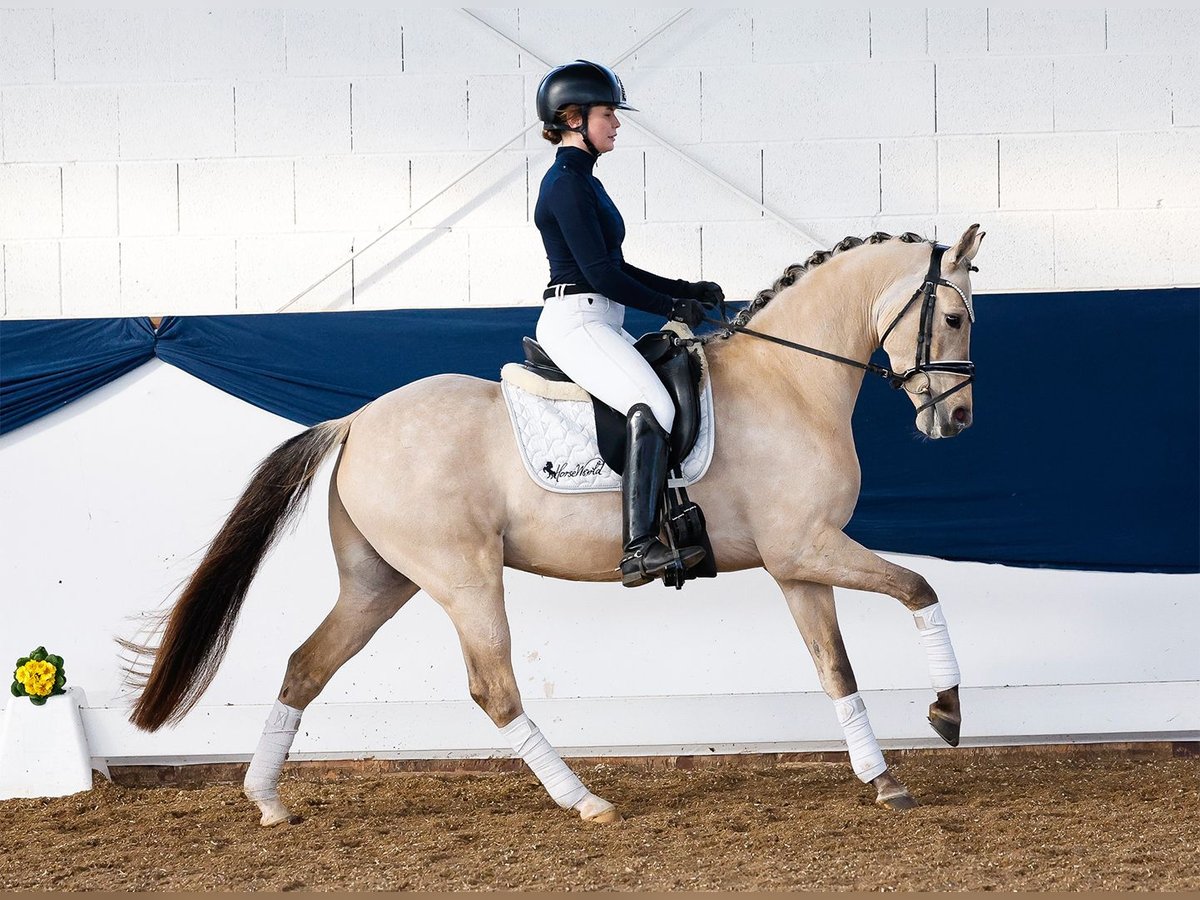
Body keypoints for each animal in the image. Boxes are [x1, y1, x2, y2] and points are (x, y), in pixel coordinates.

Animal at [124, 224, 984, 825]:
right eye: (951, 316)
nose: (958, 420)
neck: (791, 380)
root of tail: (357, 421)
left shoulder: (797, 563)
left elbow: (835, 667)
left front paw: (883, 777)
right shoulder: (810, 547)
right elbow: (920, 588)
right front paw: (946, 714)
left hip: (381, 581)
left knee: (306, 665)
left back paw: (267, 800)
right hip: (463, 578)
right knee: (494, 688)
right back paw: (584, 800)